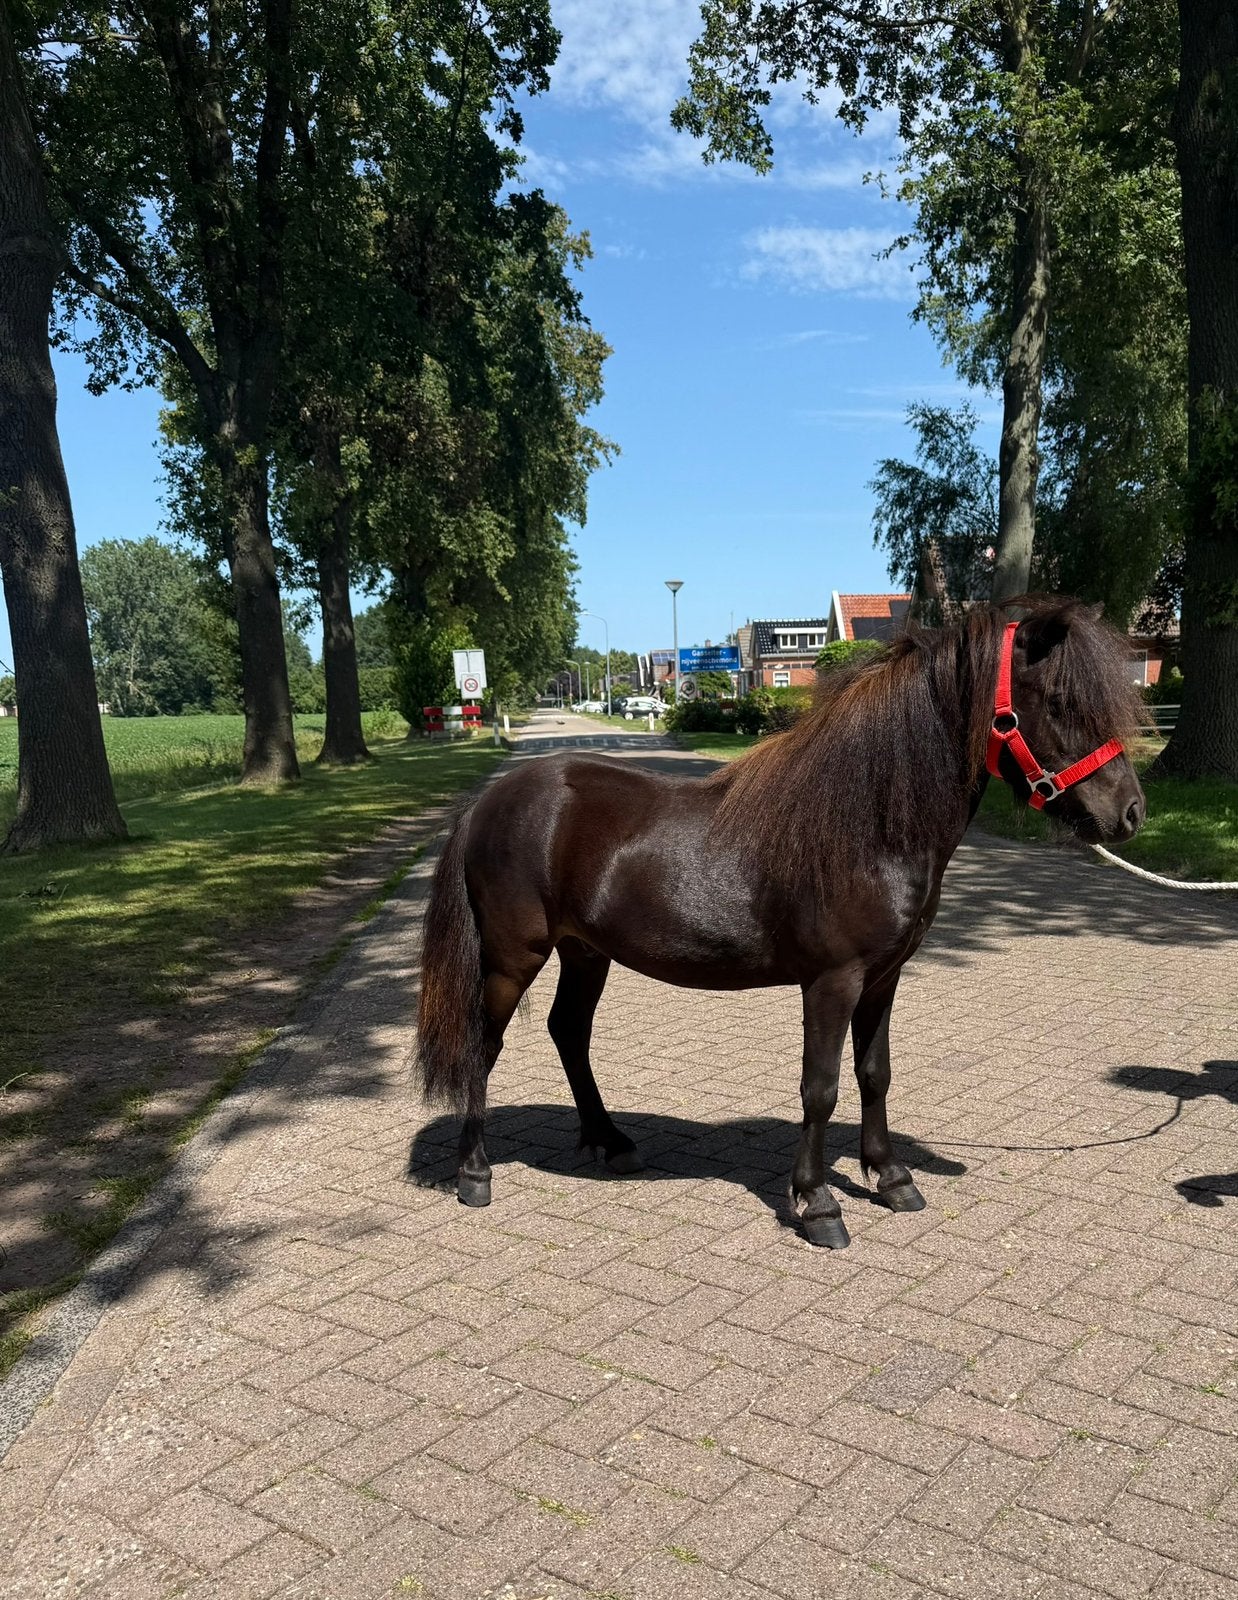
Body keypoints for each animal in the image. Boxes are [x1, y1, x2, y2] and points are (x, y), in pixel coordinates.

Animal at [415, 598, 1146, 1247]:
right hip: (514, 956)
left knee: (569, 1032)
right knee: (484, 1045)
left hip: (585, 952)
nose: (1129, 814)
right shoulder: (832, 981)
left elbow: (874, 1073)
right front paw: (818, 1204)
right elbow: (820, 1088)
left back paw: (609, 1142)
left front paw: (891, 1178)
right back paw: (475, 1173)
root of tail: (488, 802)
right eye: (1059, 701)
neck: (868, 824)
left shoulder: (883, 979)